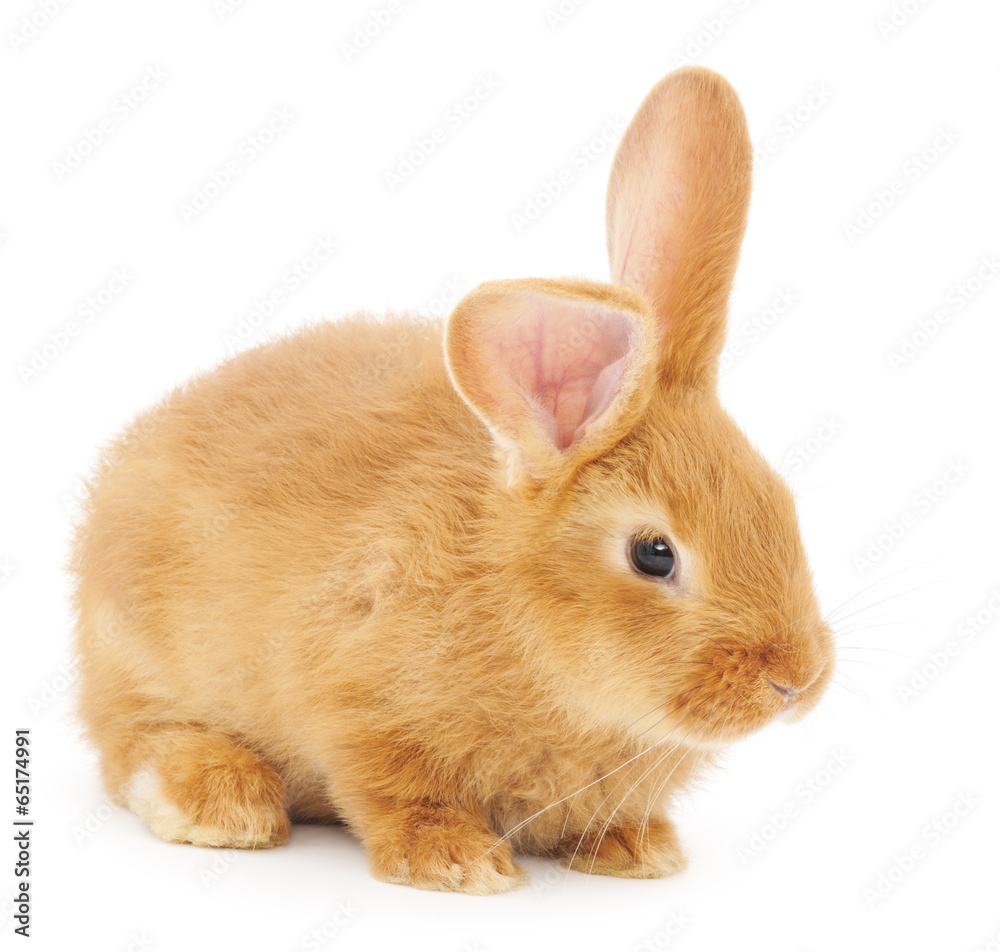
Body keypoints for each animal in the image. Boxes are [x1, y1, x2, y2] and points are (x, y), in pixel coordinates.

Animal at [71, 65, 835, 894]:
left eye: (782, 503)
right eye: (653, 555)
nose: (796, 680)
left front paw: (635, 849)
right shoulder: (356, 699)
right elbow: (394, 787)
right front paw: (458, 861)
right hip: (139, 659)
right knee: (131, 740)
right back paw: (220, 801)